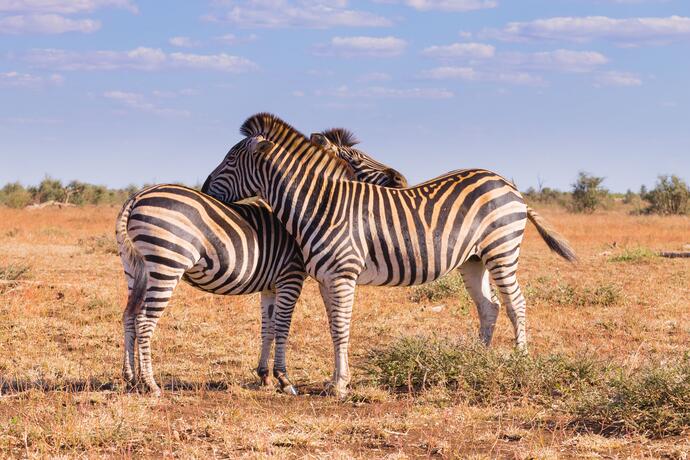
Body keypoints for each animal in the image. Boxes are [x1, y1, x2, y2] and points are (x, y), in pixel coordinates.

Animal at [112, 128, 404, 396]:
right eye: (356, 159)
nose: (400, 179)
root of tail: (136, 197)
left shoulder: (270, 285)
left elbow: (268, 328)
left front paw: (264, 376)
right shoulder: (290, 276)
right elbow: (283, 327)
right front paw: (284, 379)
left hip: (136, 269)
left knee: (129, 316)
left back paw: (130, 378)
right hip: (166, 264)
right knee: (144, 321)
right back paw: (150, 384)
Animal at [200, 113, 576, 398]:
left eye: (230, 159)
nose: (203, 188)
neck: (320, 204)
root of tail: (508, 185)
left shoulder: (342, 274)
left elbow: (340, 327)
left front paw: (339, 385)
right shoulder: (325, 278)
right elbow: (333, 327)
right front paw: (335, 379)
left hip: (502, 250)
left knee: (516, 304)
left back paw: (519, 361)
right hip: (473, 259)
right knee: (489, 306)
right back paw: (477, 360)